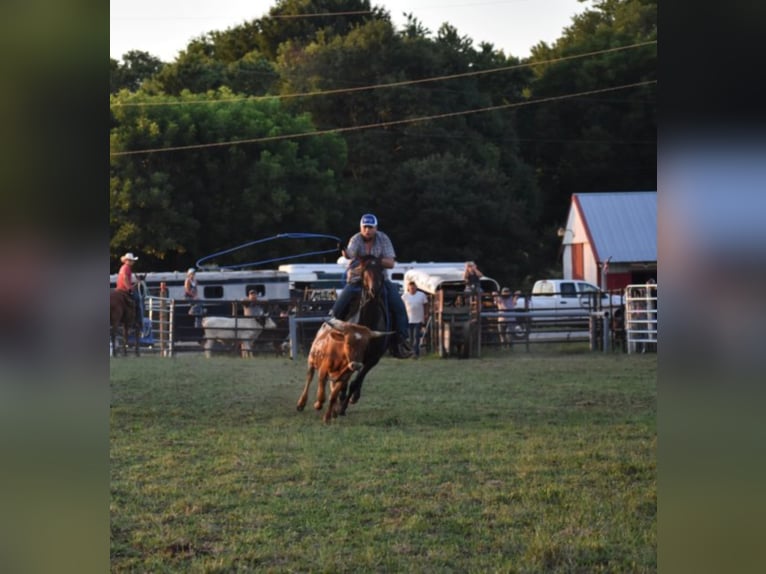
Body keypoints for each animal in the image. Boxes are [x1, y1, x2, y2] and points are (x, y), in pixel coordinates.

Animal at [340, 255, 392, 414]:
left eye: (380, 269)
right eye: (365, 269)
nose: (374, 290)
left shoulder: (373, 359)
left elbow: (356, 381)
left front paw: (343, 407)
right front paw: (340, 400)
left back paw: (353, 397)